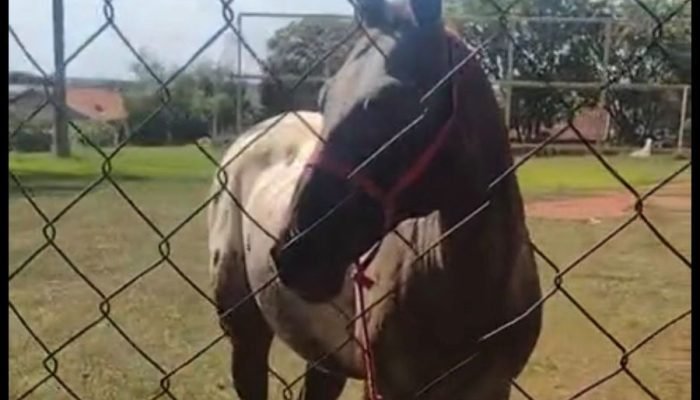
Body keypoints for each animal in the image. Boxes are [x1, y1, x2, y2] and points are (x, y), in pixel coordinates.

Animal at [207, 0, 542, 398]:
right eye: (325, 97)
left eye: (389, 101)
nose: (294, 252)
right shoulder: (385, 386)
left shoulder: (494, 386)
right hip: (246, 335)